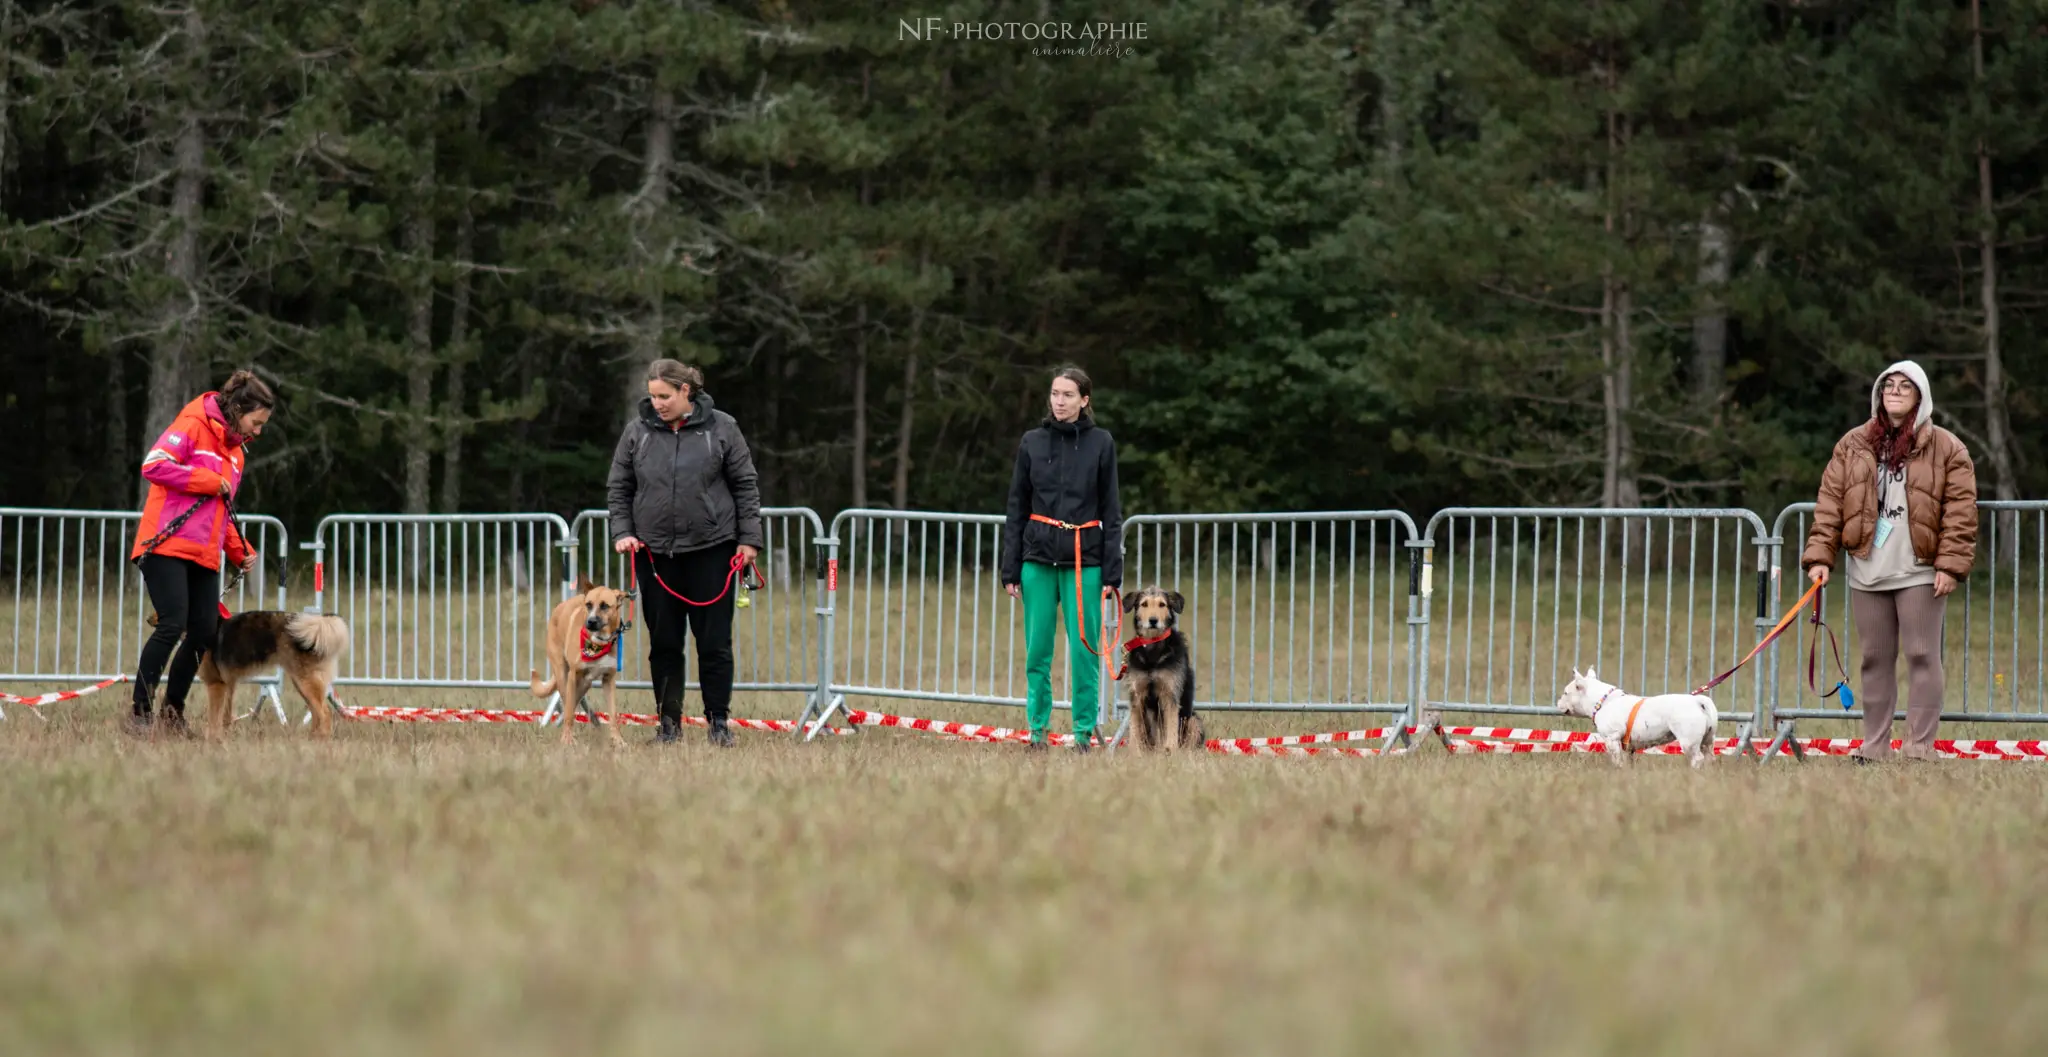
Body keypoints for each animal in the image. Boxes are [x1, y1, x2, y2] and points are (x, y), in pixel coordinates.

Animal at [197, 610, 350, 741]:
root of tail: (316, 624)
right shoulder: (228, 684)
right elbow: (225, 716)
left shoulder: (216, 683)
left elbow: (213, 719)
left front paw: (213, 742)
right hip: (301, 683)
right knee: (315, 712)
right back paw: (311, 738)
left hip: (306, 682)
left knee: (325, 713)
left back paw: (322, 741)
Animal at [528, 577, 630, 741]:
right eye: (588, 605)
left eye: (605, 606)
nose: (591, 622)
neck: (598, 643)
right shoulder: (573, 676)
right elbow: (569, 711)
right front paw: (567, 740)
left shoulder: (608, 680)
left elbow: (613, 715)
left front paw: (618, 741)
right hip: (563, 673)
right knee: (567, 702)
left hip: (585, 683)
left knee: (574, 701)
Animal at [1122, 585, 1196, 749]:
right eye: (1144, 604)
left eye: (1162, 604)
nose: (1153, 620)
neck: (1153, 650)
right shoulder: (1137, 694)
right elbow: (1135, 730)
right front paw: (1134, 752)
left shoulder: (1170, 694)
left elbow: (1171, 728)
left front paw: (1170, 750)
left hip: (1194, 721)